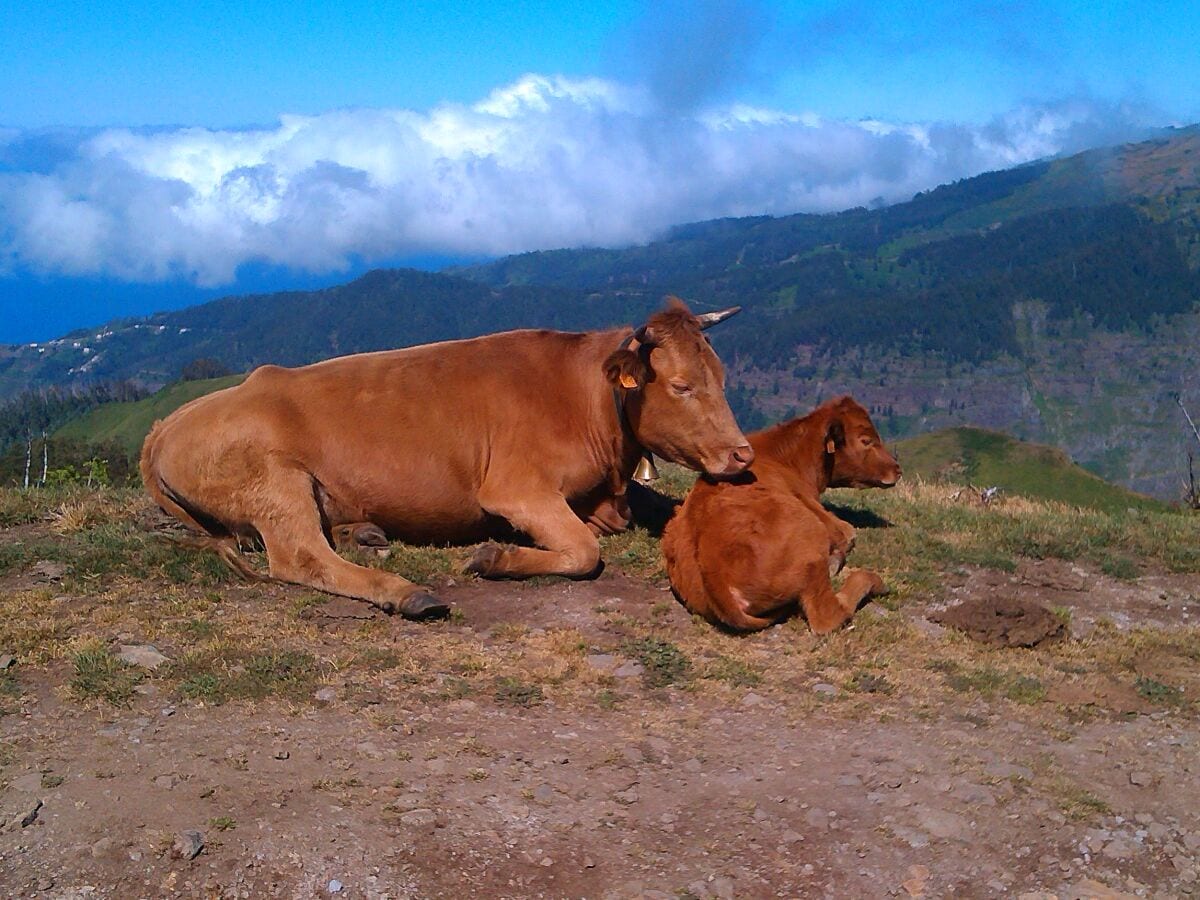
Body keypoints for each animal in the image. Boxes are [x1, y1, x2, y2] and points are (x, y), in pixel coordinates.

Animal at [140, 296, 748, 619]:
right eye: (680, 386)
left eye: (721, 377)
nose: (741, 454)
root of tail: (167, 423)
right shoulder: (515, 488)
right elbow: (583, 551)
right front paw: (494, 557)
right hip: (274, 478)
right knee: (300, 557)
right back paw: (408, 592)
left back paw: (364, 534)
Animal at [657, 398, 902, 638]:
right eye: (866, 440)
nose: (898, 470)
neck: (787, 459)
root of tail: (714, 576)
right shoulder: (831, 522)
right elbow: (850, 534)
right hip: (810, 536)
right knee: (827, 617)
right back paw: (872, 581)